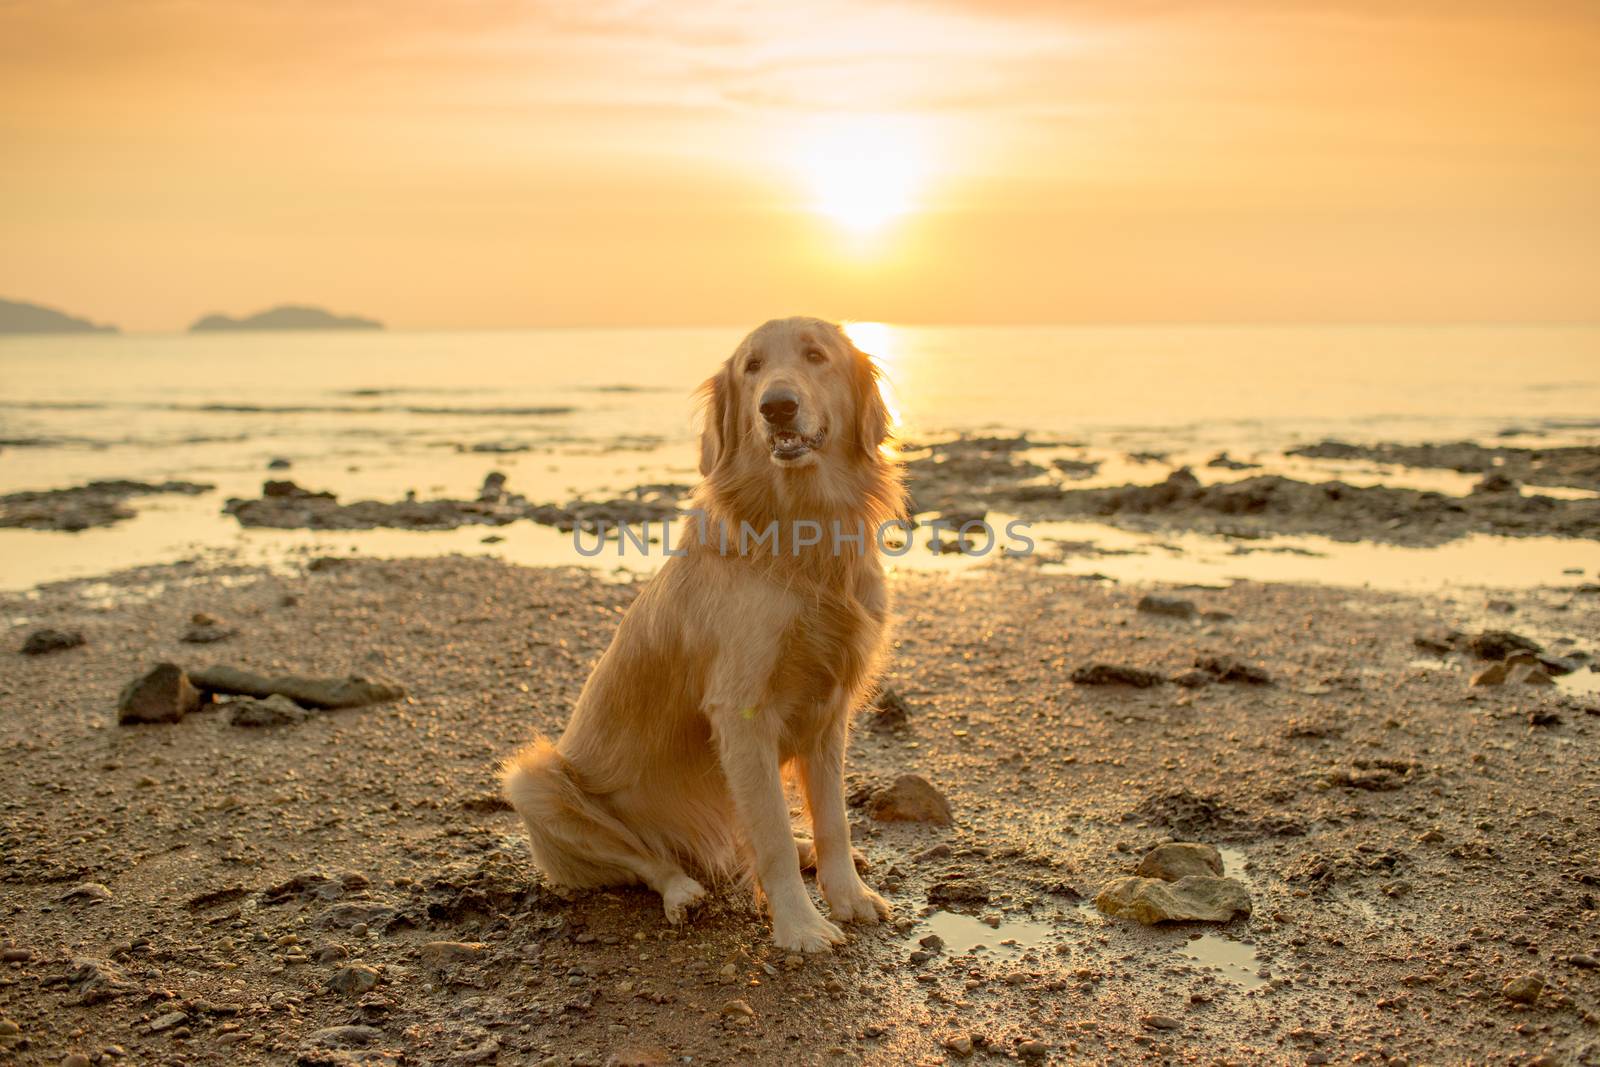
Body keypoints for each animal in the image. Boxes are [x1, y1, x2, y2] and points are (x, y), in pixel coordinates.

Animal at [502, 316, 902, 953]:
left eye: (816, 356)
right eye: (752, 367)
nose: (777, 406)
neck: (802, 534)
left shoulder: (829, 708)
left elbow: (834, 821)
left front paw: (849, 896)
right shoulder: (741, 712)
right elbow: (771, 837)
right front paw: (800, 927)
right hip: (534, 783)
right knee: (650, 861)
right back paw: (682, 891)